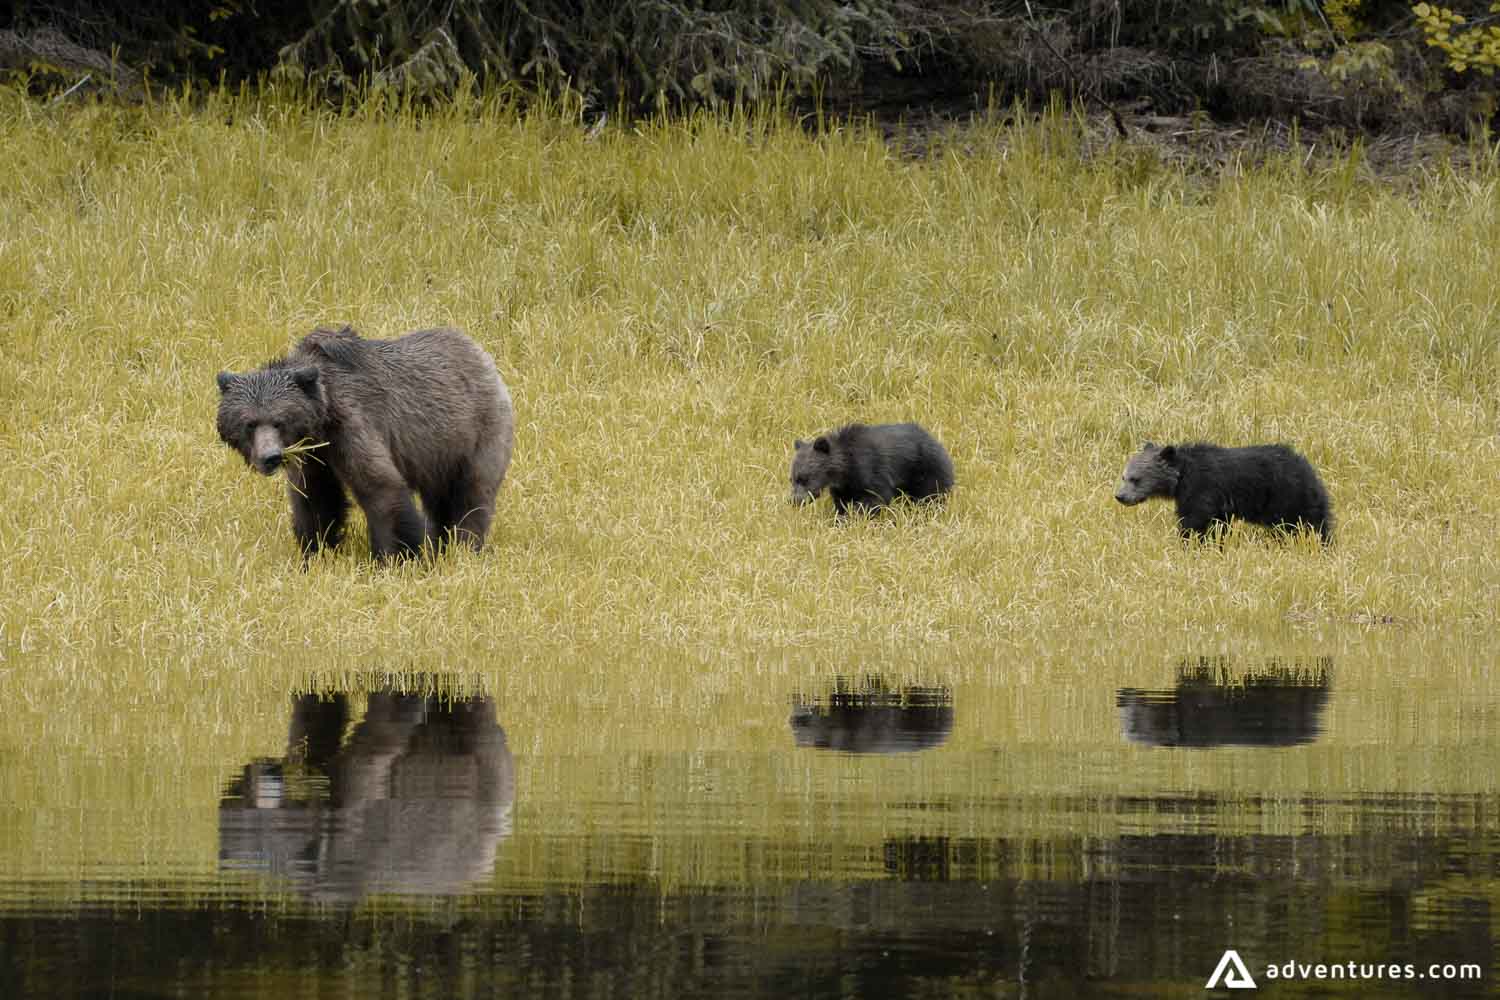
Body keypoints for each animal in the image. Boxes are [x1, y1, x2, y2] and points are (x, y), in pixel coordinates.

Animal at [216, 325, 515, 560]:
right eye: (249, 423)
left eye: (279, 421)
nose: (270, 457)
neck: (322, 418)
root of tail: (481, 355)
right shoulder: (315, 457)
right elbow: (316, 500)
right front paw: (314, 552)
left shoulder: (352, 426)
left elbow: (381, 489)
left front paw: (395, 557)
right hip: (439, 453)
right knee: (440, 501)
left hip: (476, 433)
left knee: (472, 495)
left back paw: (465, 548)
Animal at [789, 422, 954, 515]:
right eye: (792, 479)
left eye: (804, 478)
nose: (794, 500)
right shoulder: (844, 486)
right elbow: (842, 502)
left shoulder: (871, 469)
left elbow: (875, 497)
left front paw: (854, 517)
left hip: (928, 471)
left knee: (930, 498)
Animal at [1114, 441, 1332, 544]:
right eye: (1124, 476)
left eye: (1136, 479)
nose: (1120, 496)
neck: (1181, 478)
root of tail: (1308, 467)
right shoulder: (1218, 504)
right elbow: (1219, 526)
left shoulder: (1202, 489)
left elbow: (1194, 521)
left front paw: (1188, 542)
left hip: (1288, 497)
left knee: (1307, 525)